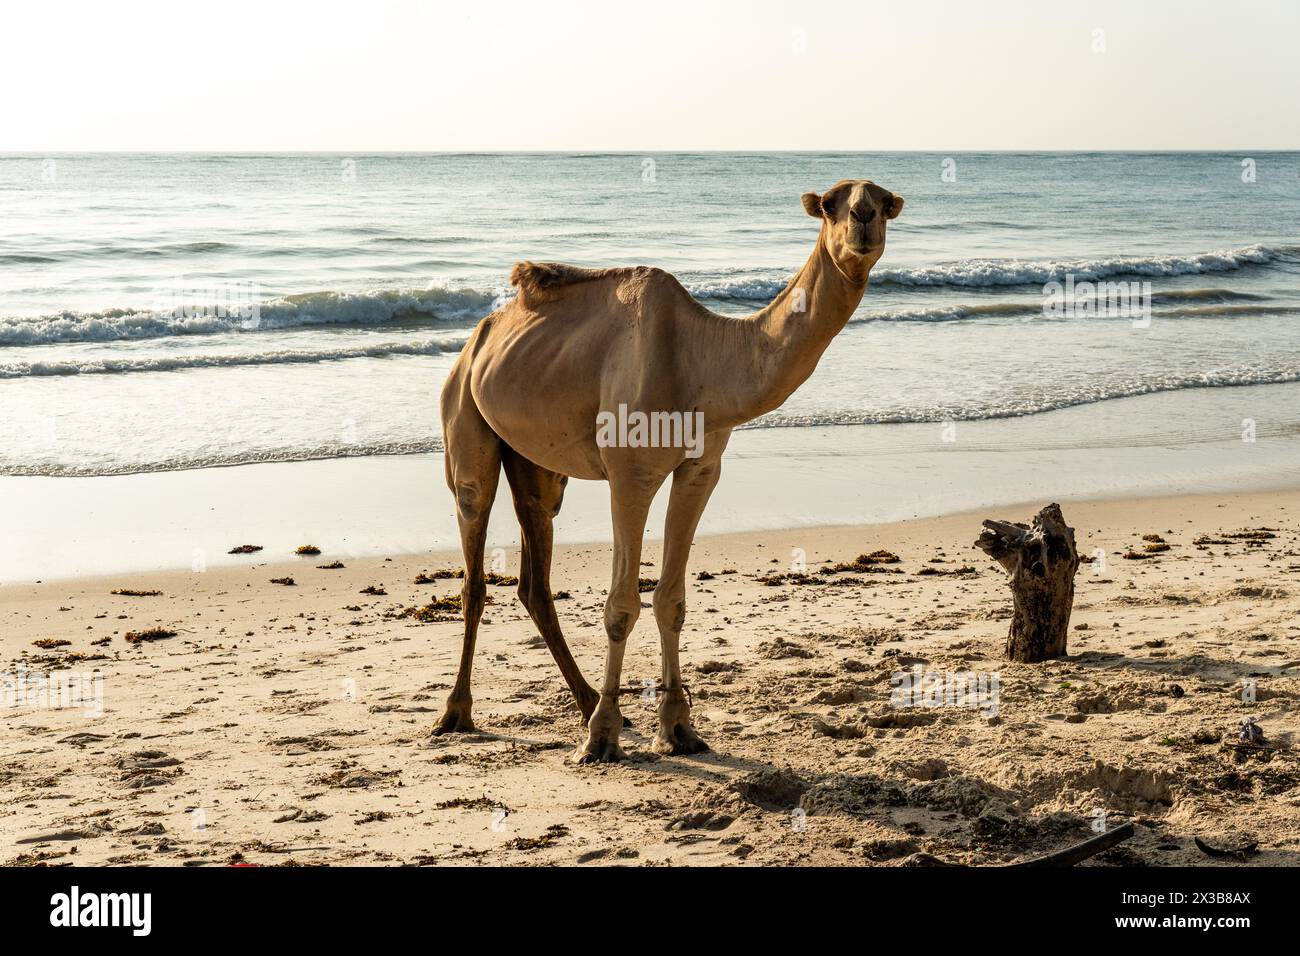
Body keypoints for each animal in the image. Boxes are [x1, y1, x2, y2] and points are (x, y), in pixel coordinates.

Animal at [436, 178, 904, 764]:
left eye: (885, 202)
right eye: (830, 204)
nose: (862, 217)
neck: (701, 360)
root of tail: (477, 338)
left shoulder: (701, 469)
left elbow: (671, 600)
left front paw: (679, 727)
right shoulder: (630, 473)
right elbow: (620, 605)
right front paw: (602, 736)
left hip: (536, 463)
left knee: (535, 574)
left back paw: (583, 700)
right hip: (464, 418)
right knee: (473, 560)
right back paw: (457, 713)